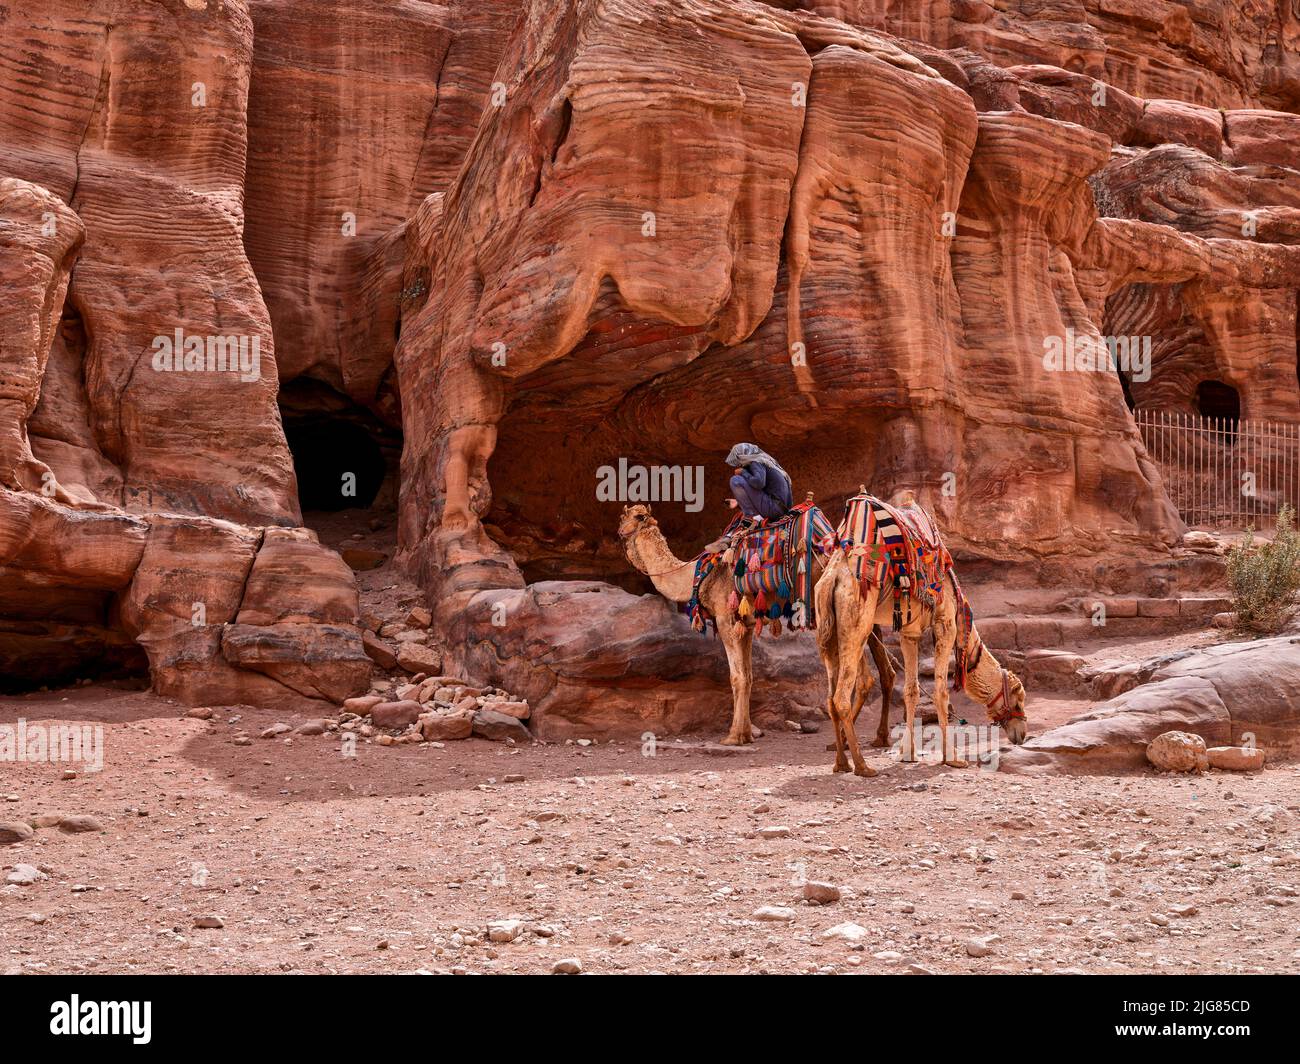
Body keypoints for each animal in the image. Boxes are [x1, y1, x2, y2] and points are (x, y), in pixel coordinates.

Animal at [618, 504, 894, 744]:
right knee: (883, 670)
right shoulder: (746, 626)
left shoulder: (725, 619)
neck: (696, 575)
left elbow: (737, 677)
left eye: (624, 518)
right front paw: (747, 733)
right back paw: (875, 738)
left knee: (863, 677)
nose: (618, 532)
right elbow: (749, 676)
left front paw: (733, 737)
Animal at [811, 502, 1024, 775]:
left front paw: (908, 753)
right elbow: (941, 691)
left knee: (830, 697)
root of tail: (833, 578)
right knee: (841, 696)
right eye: (1018, 700)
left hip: (826, 628)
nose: (1022, 733)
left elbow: (911, 690)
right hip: (856, 621)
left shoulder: (909, 633)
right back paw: (862, 765)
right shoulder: (946, 624)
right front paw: (952, 757)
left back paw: (841, 763)